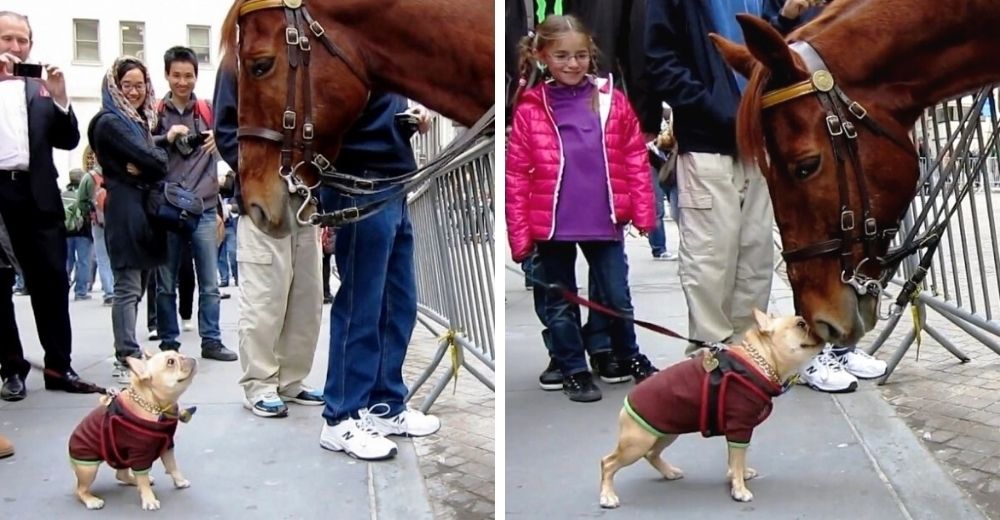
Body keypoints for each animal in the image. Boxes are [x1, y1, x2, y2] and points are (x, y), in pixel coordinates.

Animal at [68, 352, 197, 510]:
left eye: (180, 354)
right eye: (171, 362)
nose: (189, 357)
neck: (154, 405)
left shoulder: (167, 447)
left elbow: (172, 466)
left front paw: (180, 481)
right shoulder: (139, 454)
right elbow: (142, 477)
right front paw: (149, 499)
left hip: (119, 455)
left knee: (121, 475)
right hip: (88, 469)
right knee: (80, 490)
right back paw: (91, 500)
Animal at [600, 308, 820, 508]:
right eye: (800, 324)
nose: (817, 323)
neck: (762, 360)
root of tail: (626, 403)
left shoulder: (739, 432)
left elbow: (736, 459)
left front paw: (739, 475)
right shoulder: (739, 427)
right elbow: (737, 459)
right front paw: (739, 490)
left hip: (664, 433)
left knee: (651, 454)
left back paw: (669, 472)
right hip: (636, 444)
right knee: (608, 463)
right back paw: (607, 496)